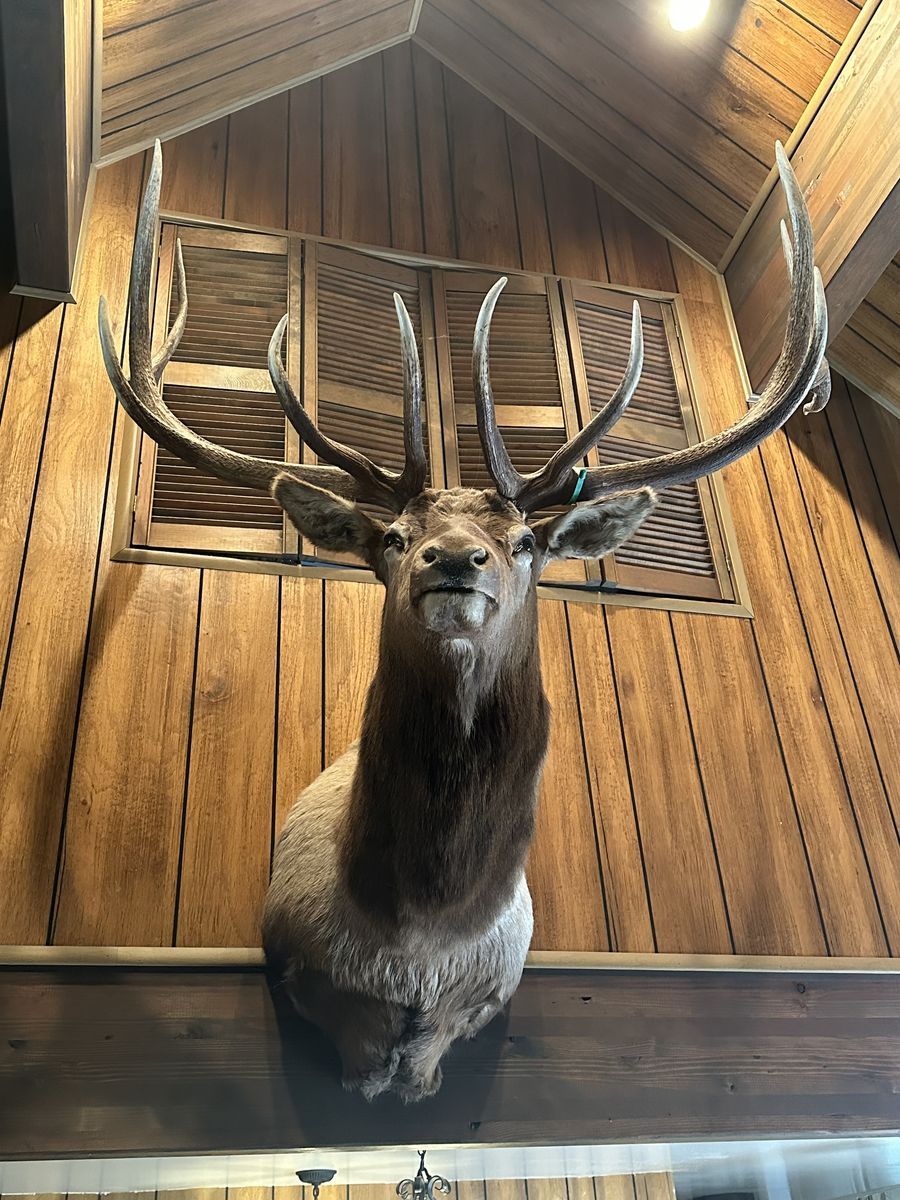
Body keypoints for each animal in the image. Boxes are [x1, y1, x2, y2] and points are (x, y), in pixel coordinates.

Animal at [99, 140, 829, 1103]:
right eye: (393, 537)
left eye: (523, 540)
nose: (452, 559)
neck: (423, 933)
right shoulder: (296, 960)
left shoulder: (488, 989)